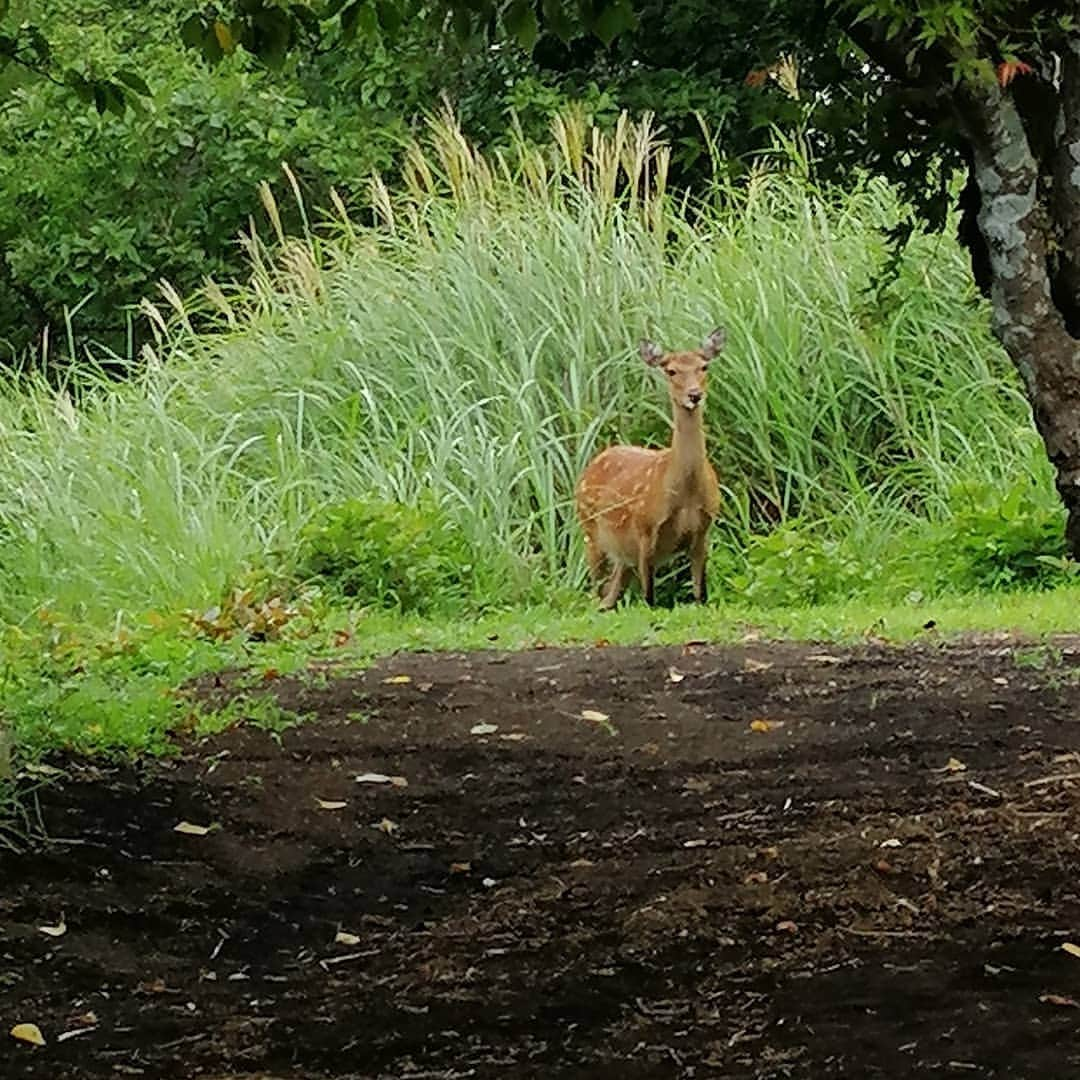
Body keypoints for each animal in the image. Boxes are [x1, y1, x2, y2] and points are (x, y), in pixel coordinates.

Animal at [574, 324, 725, 609]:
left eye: (704, 366)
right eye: (671, 370)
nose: (694, 395)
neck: (686, 494)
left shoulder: (703, 528)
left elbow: (701, 594)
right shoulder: (644, 528)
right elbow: (649, 597)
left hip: (620, 553)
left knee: (609, 594)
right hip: (590, 529)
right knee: (595, 589)